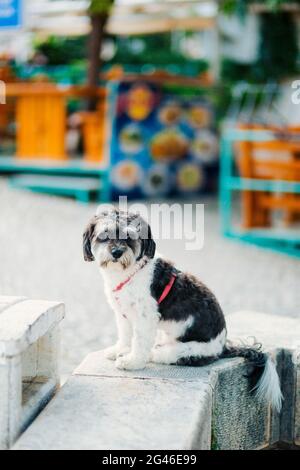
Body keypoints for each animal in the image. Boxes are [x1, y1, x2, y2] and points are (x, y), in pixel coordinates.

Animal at [83, 208, 282, 412]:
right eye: (104, 235)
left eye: (130, 237)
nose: (116, 252)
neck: (130, 272)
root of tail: (223, 346)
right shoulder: (123, 312)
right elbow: (124, 334)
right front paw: (119, 349)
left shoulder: (145, 316)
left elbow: (139, 342)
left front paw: (132, 361)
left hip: (188, 351)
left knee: (164, 354)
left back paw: (153, 354)